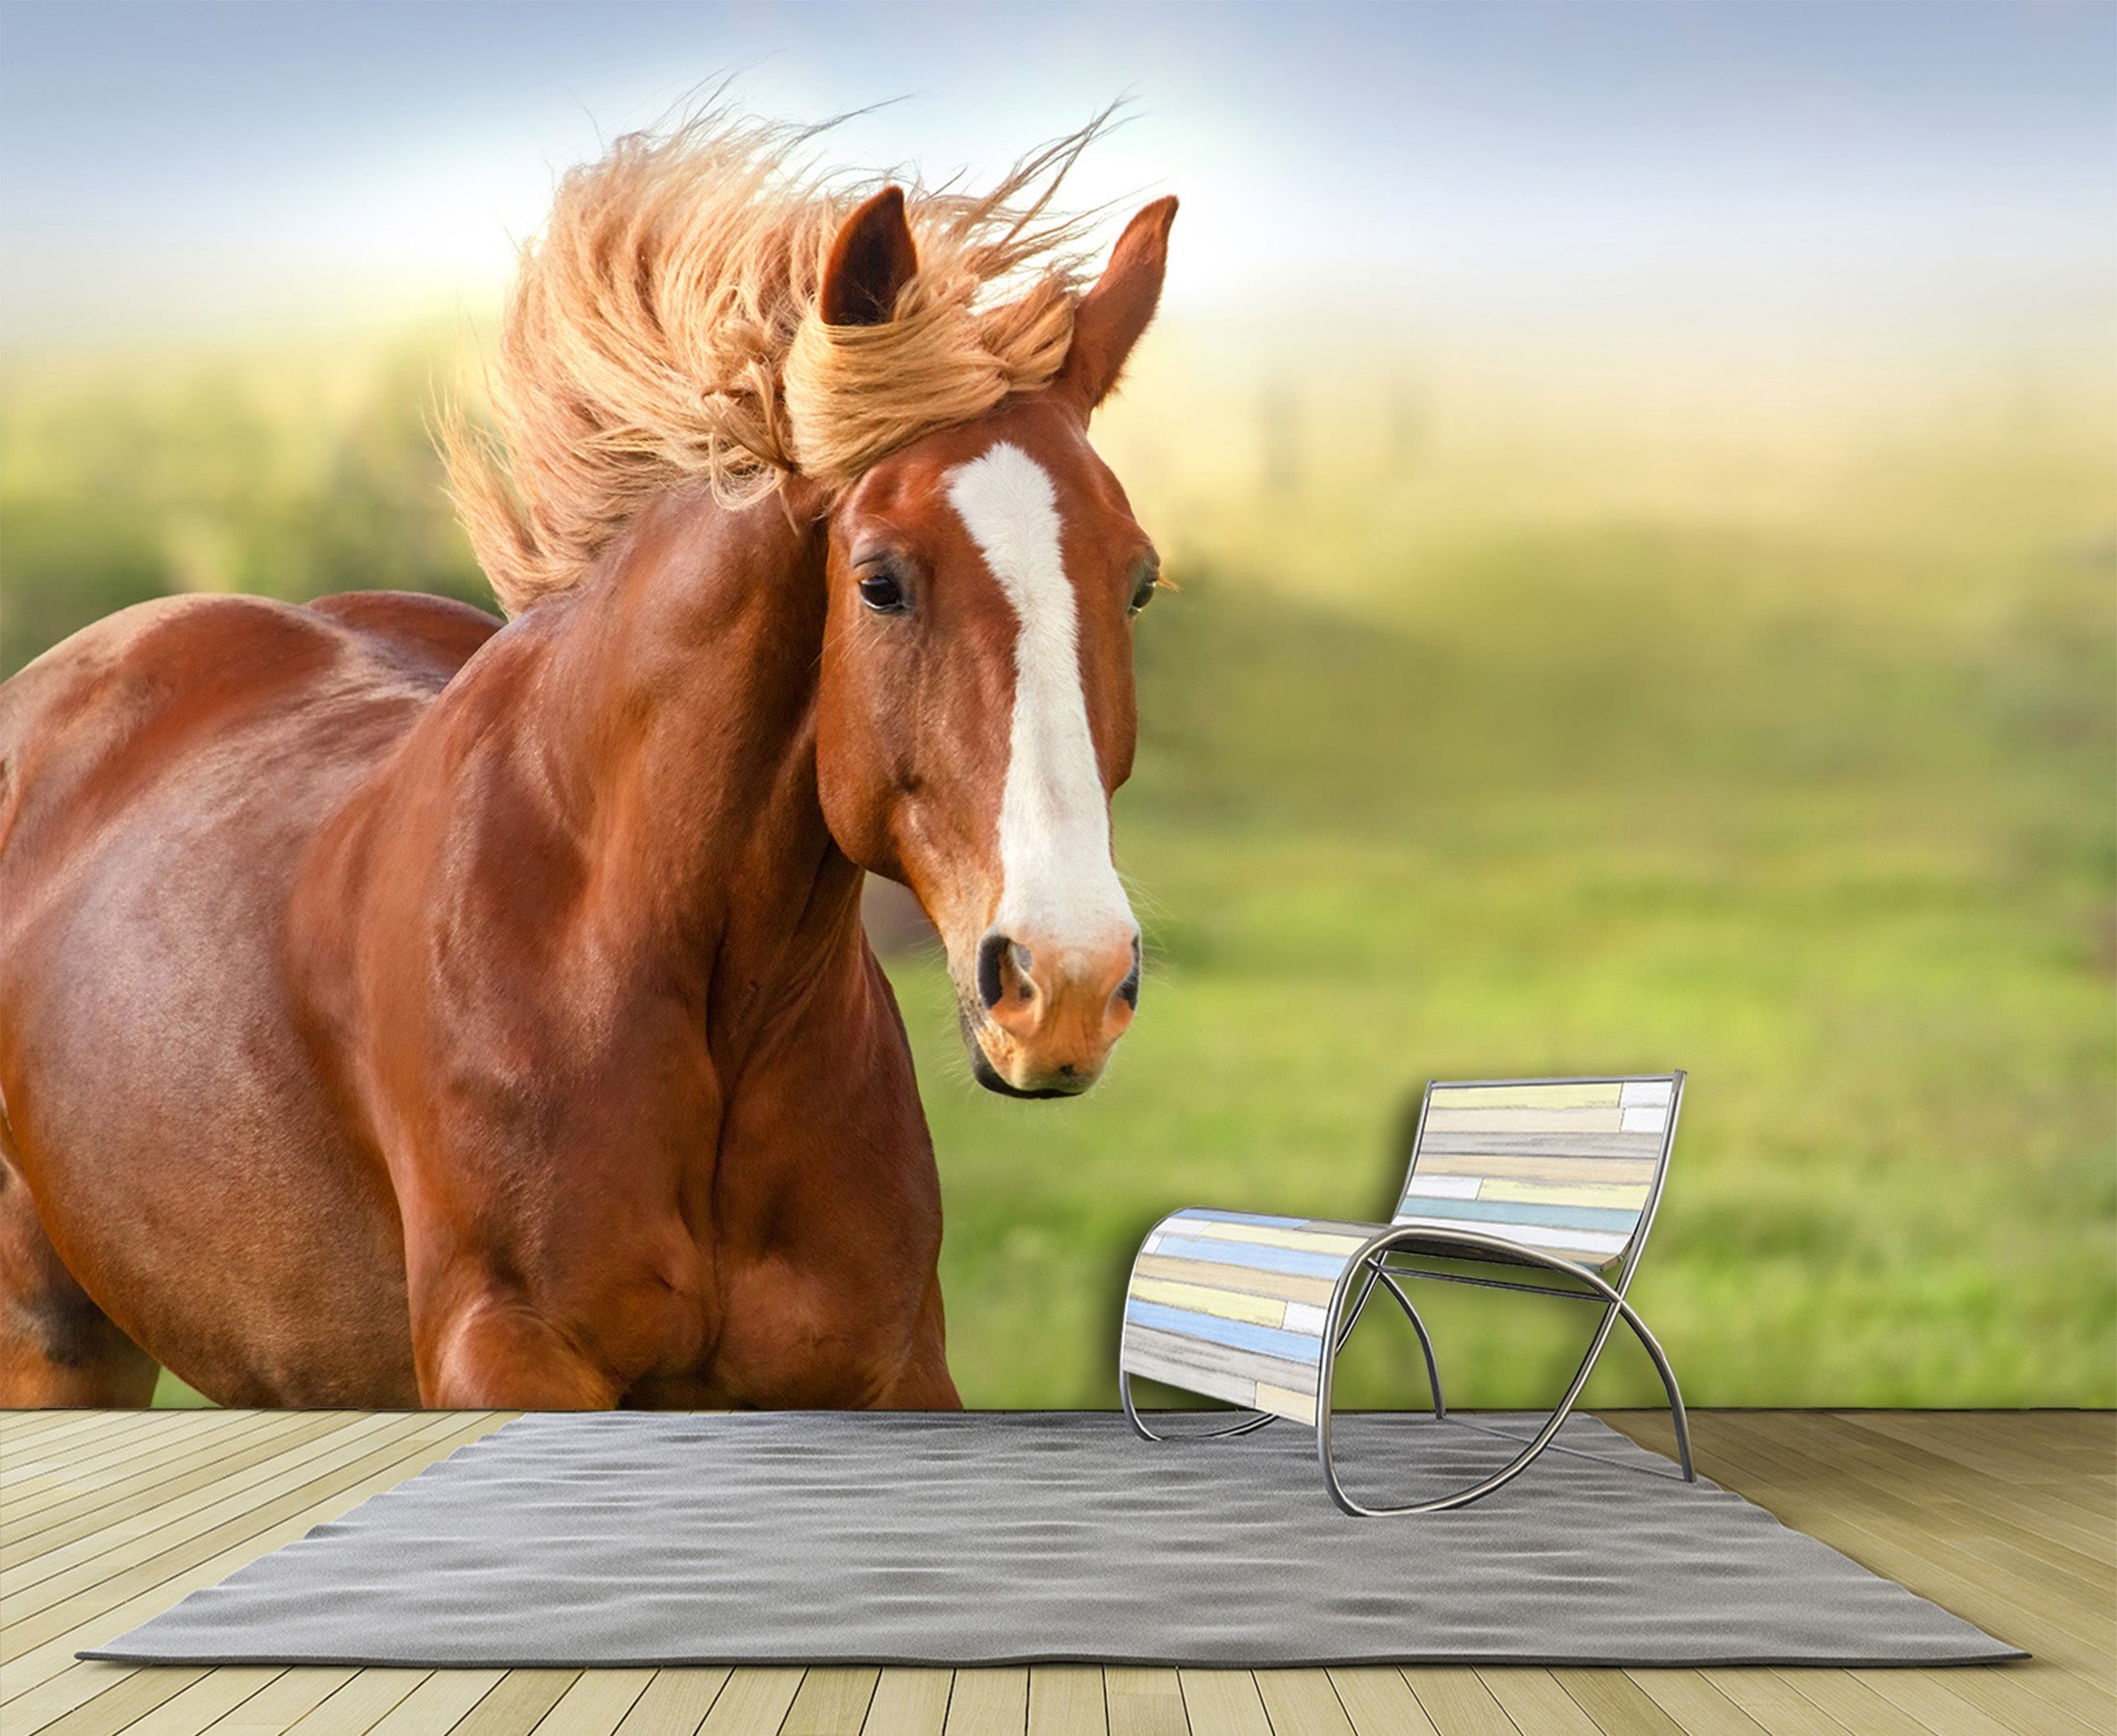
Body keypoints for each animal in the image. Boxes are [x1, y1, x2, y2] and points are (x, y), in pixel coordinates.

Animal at [0, 117, 1176, 1410]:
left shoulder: (893, 1370)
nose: (1068, 982)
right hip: (54, 1343)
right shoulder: (505, 1354)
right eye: (880, 581)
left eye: (1138, 581)